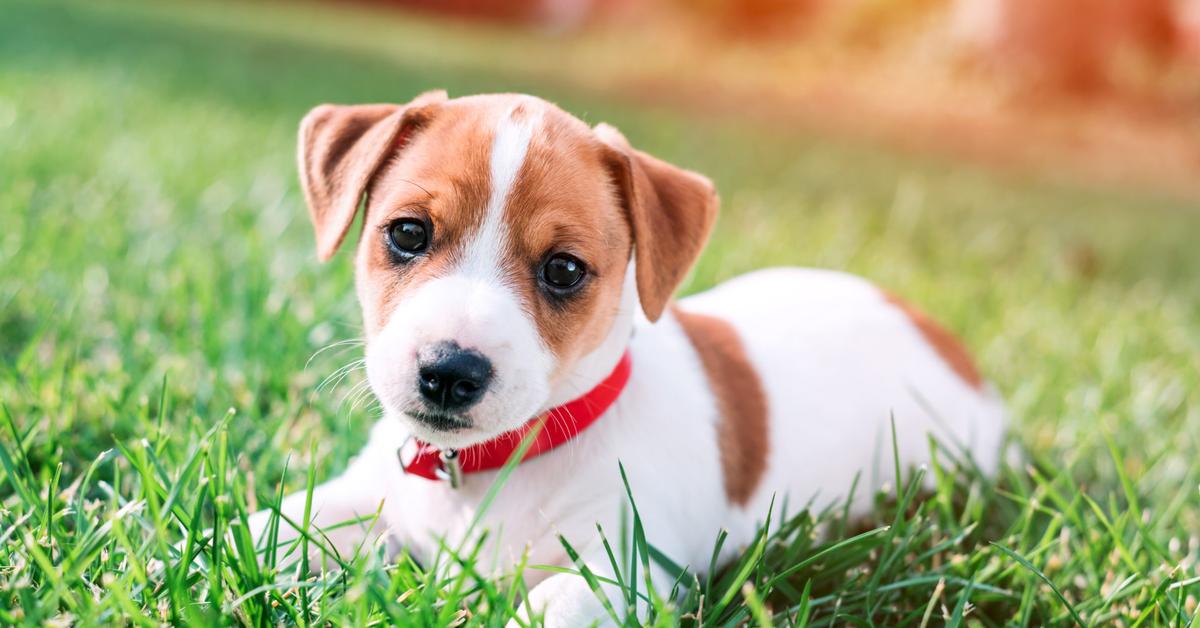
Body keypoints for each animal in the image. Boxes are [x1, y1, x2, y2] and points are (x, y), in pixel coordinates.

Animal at [250, 88, 1003, 624]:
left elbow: (548, 609)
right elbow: (277, 526)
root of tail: (938, 333)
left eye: (563, 270)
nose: (448, 372)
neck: (495, 466)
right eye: (407, 232)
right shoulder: (364, 496)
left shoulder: (617, 567)